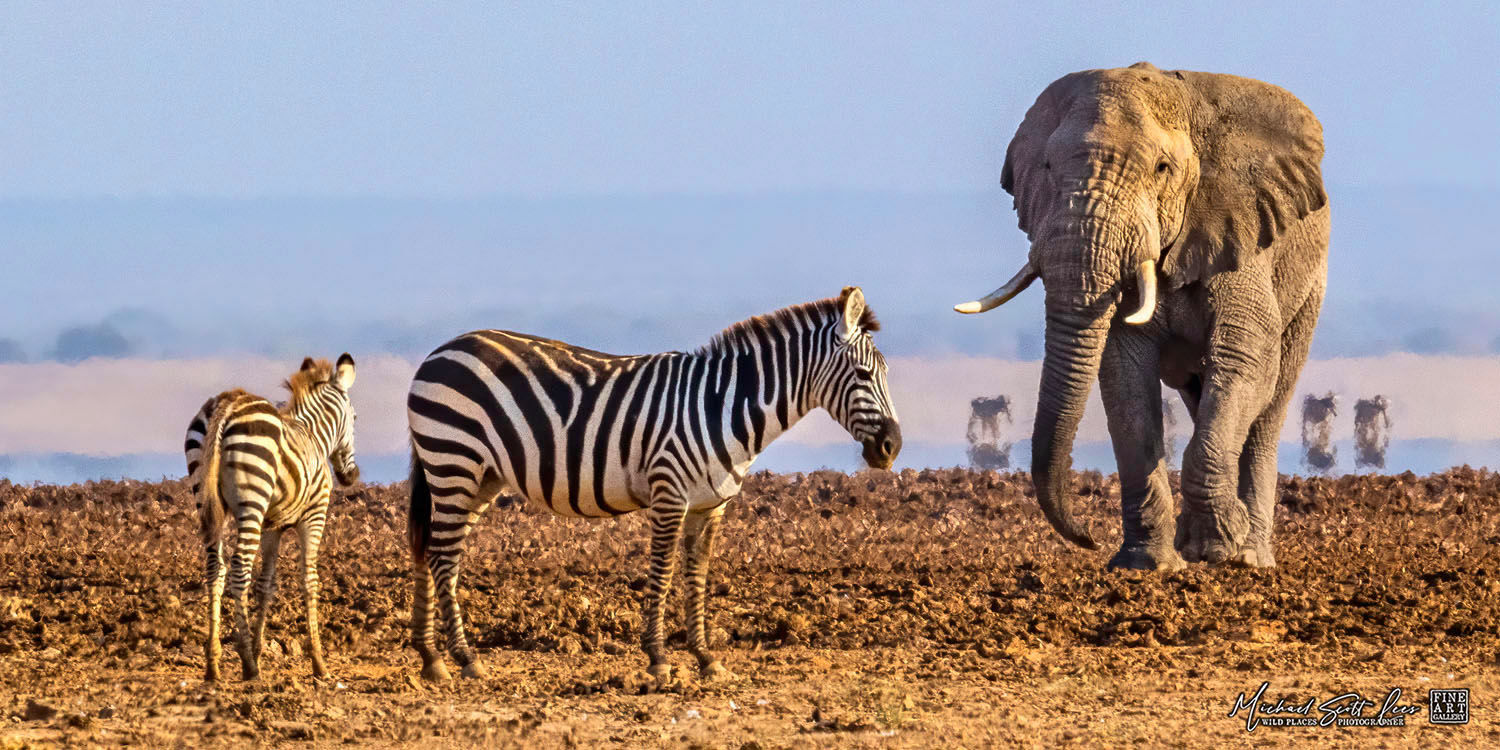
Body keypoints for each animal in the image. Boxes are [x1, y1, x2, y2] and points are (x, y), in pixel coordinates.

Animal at [189, 354, 360, 681]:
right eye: (355, 418)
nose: (351, 476)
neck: (314, 435)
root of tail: (229, 402)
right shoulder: (314, 514)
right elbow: (310, 579)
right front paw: (318, 662)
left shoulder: (273, 526)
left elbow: (266, 584)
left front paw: (259, 649)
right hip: (252, 500)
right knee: (239, 569)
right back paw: (247, 664)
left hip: (207, 501)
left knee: (215, 569)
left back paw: (213, 665)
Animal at [406, 287, 901, 684]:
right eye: (863, 375)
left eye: (886, 374)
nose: (892, 447)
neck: (723, 407)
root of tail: (438, 352)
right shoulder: (669, 493)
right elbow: (662, 575)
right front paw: (659, 659)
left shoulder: (710, 506)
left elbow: (696, 578)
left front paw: (706, 658)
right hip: (454, 462)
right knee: (444, 557)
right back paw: (465, 659)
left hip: (478, 479)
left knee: (433, 551)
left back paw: (432, 659)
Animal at [956, 63, 1328, 570]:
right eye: (1047, 168)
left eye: (1161, 169)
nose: (1087, 537)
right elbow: (1124, 376)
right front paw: (1148, 565)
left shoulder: (1239, 232)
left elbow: (1243, 357)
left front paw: (1219, 548)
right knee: (1199, 395)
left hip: (1308, 286)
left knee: (1269, 405)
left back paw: (1250, 556)